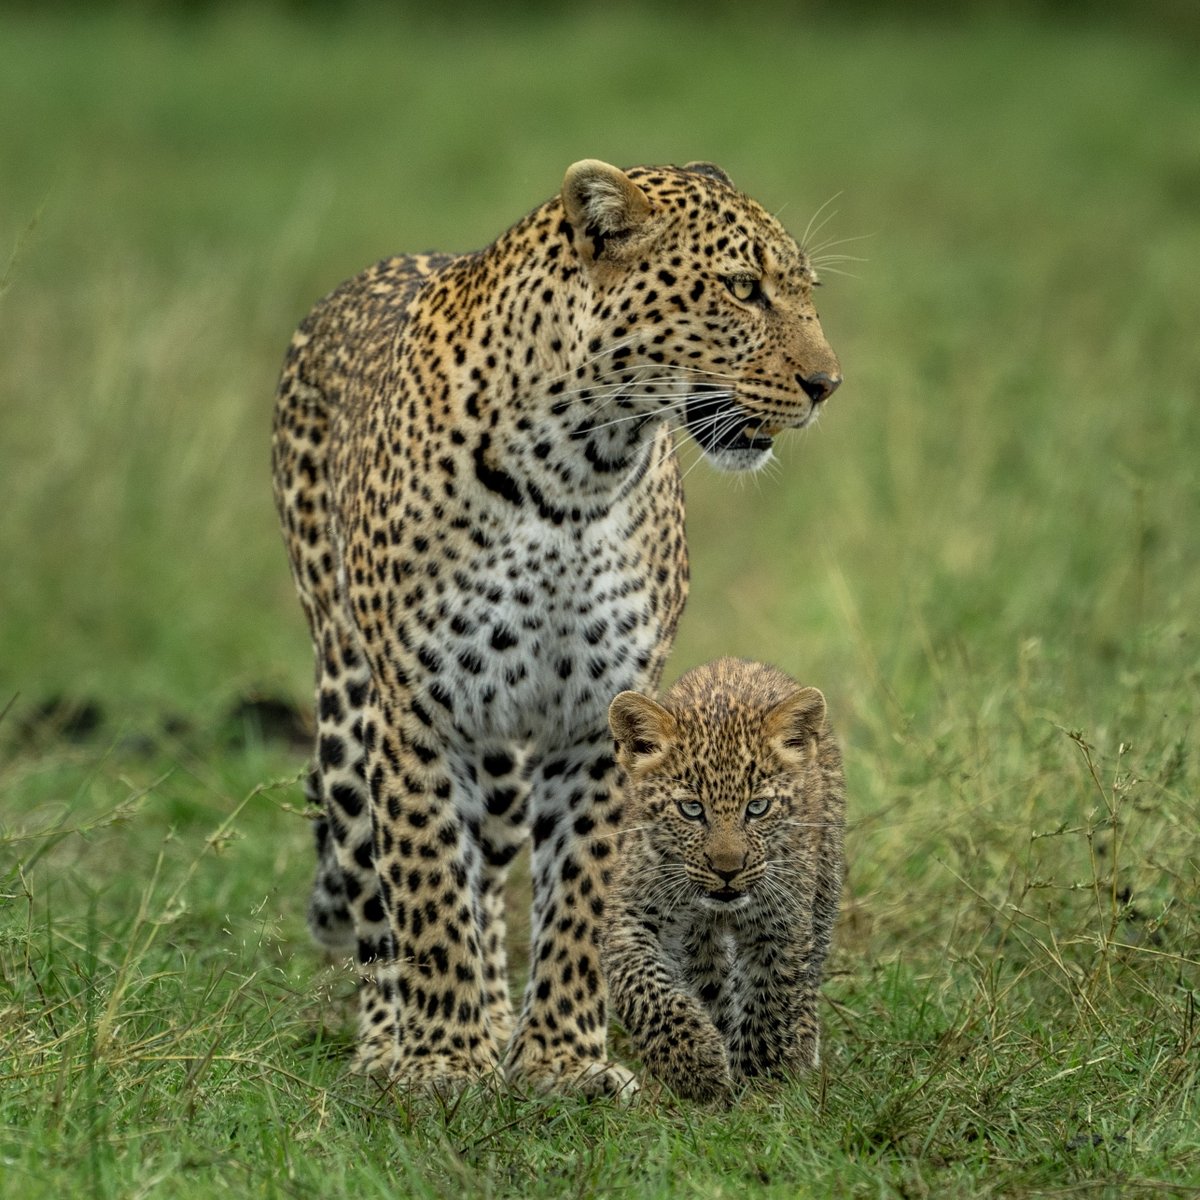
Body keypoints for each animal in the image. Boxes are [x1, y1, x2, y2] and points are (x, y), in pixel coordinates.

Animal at [270, 159, 844, 1099]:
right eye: (742, 288)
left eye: (803, 291)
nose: (827, 386)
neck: (578, 471)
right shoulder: (419, 712)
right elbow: (426, 888)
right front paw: (443, 1062)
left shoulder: (598, 714)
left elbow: (577, 893)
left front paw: (561, 1062)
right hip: (350, 716)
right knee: (379, 902)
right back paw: (392, 1042)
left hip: (503, 770)